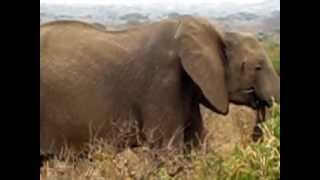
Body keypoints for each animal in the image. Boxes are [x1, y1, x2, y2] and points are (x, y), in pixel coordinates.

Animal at [40, 15, 280, 156]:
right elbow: (166, 148)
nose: (261, 106)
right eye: (258, 67)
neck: (218, 32)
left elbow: (196, 144)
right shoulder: (163, 82)